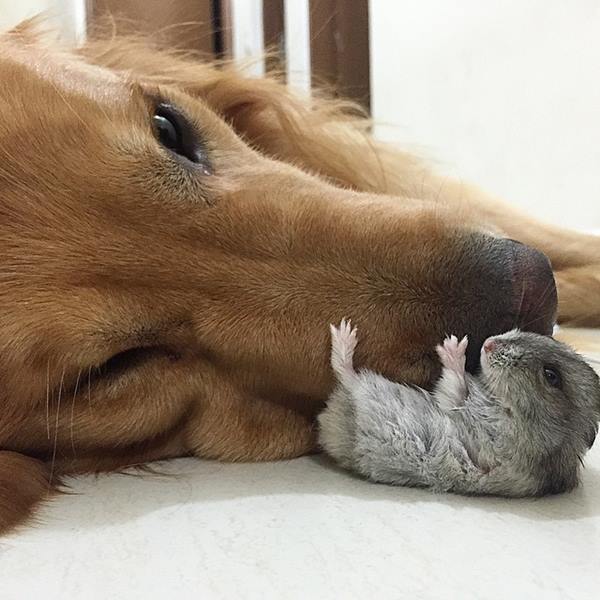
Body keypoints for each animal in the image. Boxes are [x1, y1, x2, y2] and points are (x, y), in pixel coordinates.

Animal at [318, 322, 600, 500]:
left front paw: (453, 346)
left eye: (551, 376)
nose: (488, 343)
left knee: (345, 373)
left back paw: (344, 334)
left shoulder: (482, 425)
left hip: (367, 392)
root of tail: (329, 424)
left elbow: (455, 387)